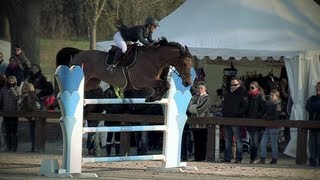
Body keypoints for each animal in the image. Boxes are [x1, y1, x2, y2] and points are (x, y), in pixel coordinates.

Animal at [55, 37, 192, 101]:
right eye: (185, 64)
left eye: (191, 64)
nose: (188, 83)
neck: (153, 59)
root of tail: (78, 53)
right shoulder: (141, 81)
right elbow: (165, 83)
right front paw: (152, 98)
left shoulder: (152, 81)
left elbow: (165, 85)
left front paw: (154, 98)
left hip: (92, 82)